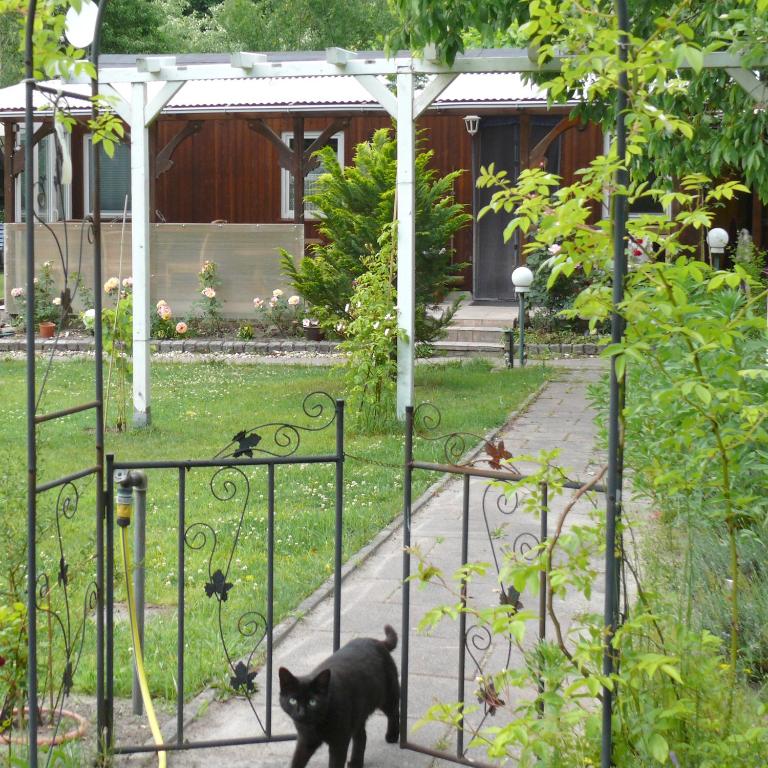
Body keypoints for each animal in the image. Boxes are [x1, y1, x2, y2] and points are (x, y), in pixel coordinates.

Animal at [280, 624, 402, 768]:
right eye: (293, 700)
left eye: (312, 702)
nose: (302, 713)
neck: (315, 724)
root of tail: (377, 642)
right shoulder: (305, 740)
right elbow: (297, 761)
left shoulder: (339, 742)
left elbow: (335, 763)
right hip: (357, 714)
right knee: (362, 736)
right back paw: (355, 763)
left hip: (387, 697)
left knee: (394, 712)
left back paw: (392, 736)